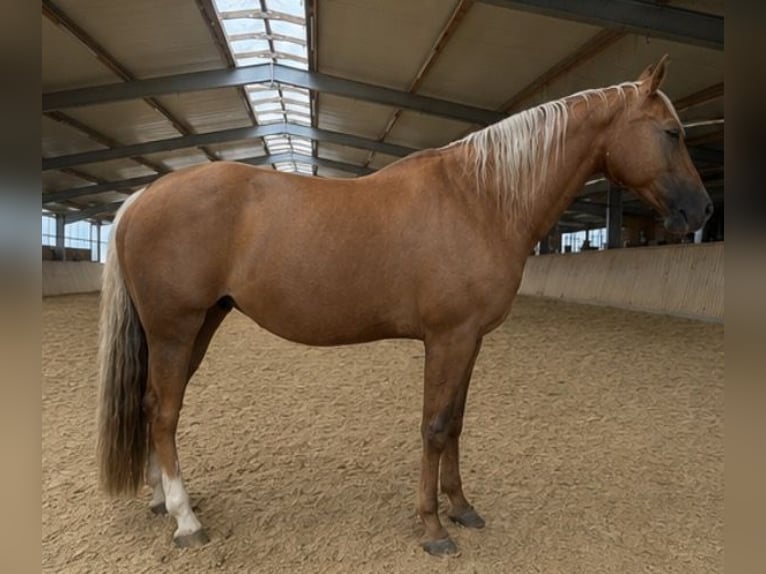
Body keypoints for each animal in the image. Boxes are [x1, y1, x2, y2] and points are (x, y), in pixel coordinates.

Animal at [96, 54, 712, 556]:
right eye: (671, 132)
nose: (703, 211)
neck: (480, 198)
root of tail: (146, 194)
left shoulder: (470, 340)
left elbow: (457, 422)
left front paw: (462, 509)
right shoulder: (448, 337)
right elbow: (434, 426)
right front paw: (433, 528)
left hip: (198, 325)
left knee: (152, 406)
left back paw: (161, 500)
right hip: (176, 329)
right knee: (165, 411)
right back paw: (186, 520)